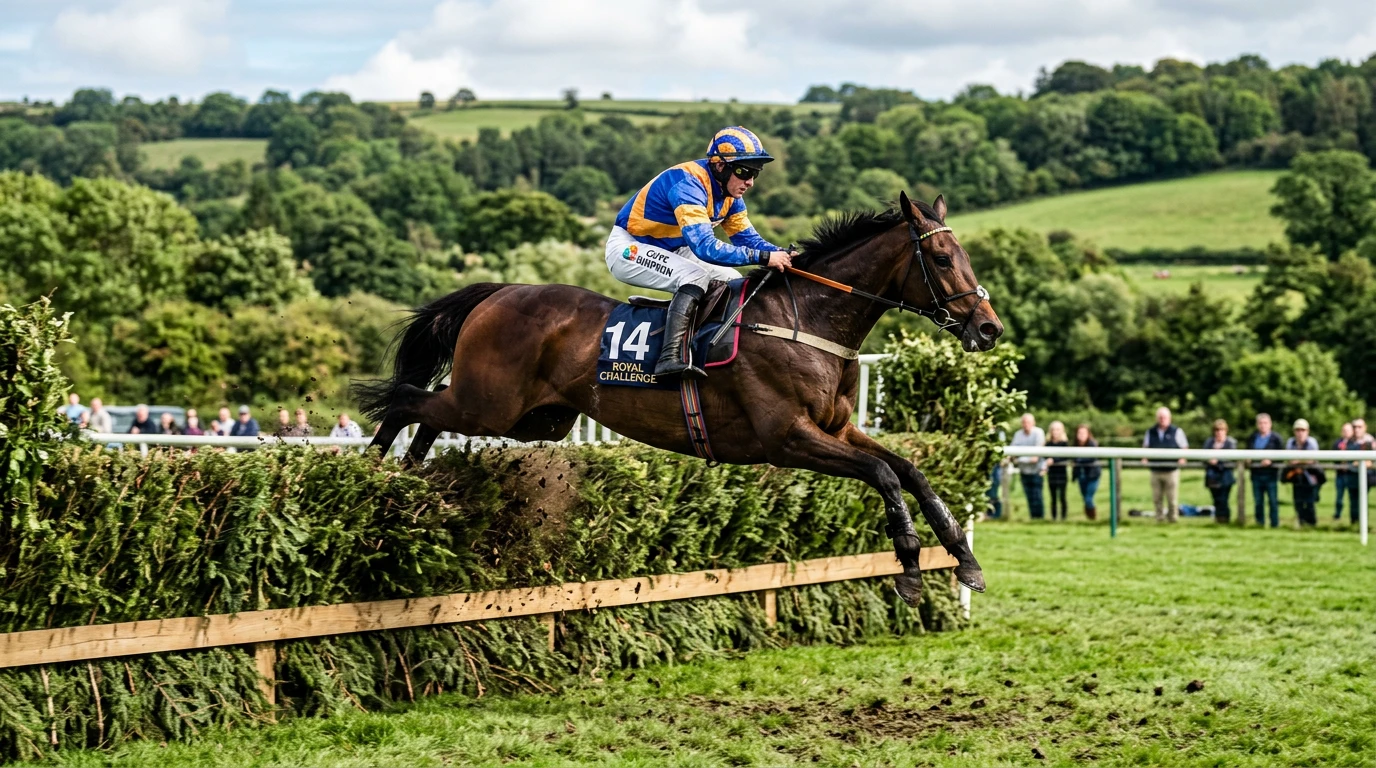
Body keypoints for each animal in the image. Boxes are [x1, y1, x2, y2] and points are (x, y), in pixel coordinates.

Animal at [356, 192, 1004, 605]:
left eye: (966, 256)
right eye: (941, 258)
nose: (989, 328)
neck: (807, 321)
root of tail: (500, 291)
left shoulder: (837, 429)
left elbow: (910, 470)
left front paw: (964, 559)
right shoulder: (788, 438)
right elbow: (884, 476)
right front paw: (910, 568)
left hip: (532, 419)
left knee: (427, 413)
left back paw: (411, 481)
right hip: (489, 404)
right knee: (407, 401)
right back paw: (374, 478)